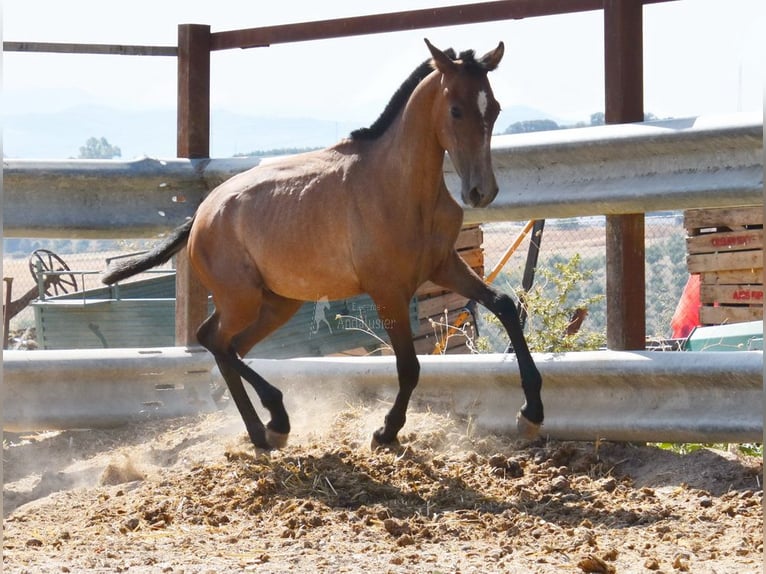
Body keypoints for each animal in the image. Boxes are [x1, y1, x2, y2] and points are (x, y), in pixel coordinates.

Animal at [103, 39, 544, 454]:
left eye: (495, 108)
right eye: (455, 110)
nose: (481, 191)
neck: (399, 187)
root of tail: (201, 213)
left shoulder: (443, 266)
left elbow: (505, 305)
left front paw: (532, 413)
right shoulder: (388, 291)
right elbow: (408, 366)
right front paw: (385, 432)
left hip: (276, 303)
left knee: (230, 346)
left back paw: (265, 431)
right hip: (240, 299)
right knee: (213, 339)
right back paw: (273, 422)